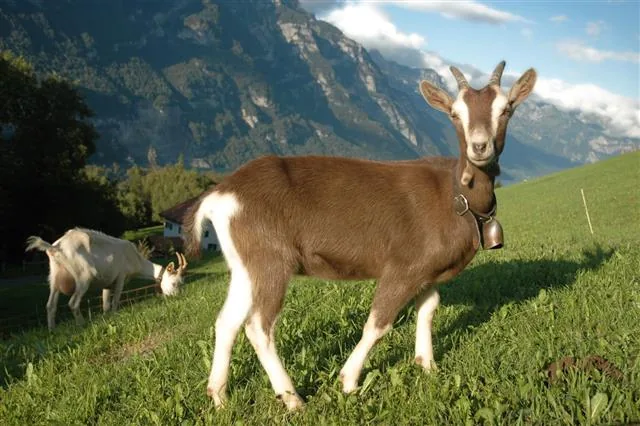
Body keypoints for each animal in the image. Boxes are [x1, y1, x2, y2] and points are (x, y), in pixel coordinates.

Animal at [25, 227, 188, 330]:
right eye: (174, 283)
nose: (177, 297)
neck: (135, 258)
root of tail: (56, 247)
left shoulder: (107, 283)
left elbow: (106, 304)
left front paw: (107, 318)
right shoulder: (121, 277)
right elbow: (115, 301)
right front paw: (116, 316)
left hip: (55, 277)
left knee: (50, 305)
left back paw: (52, 330)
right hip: (83, 277)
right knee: (73, 303)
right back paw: (81, 324)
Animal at [183, 61, 537, 410]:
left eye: (506, 109)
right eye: (454, 113)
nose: (480, 146)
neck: (454, 194)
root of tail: (221, 195)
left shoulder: (427, 270)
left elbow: (428, 310)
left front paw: (427, 366)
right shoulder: (402, 267)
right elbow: (378, 324)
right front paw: (349, 381)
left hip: (245, 264)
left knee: (227, 321)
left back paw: (219, 396)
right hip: (271, 259)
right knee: (258, 326)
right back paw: (293, 399)